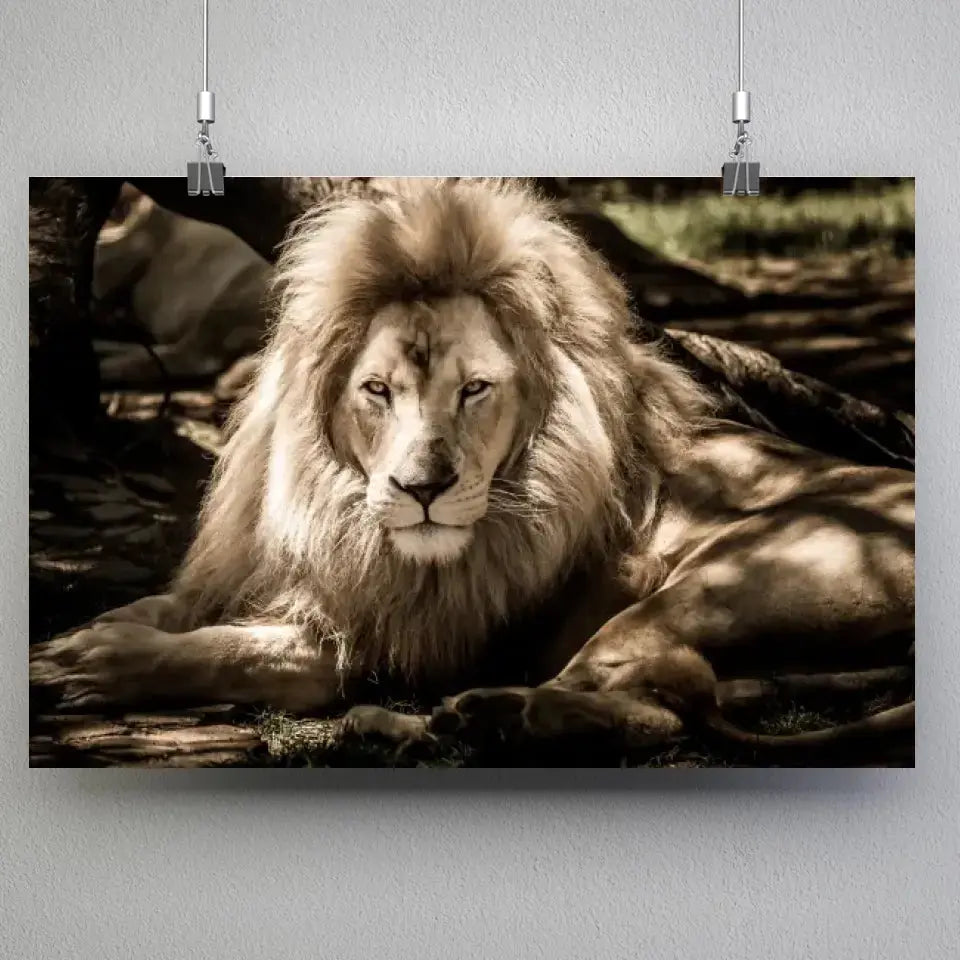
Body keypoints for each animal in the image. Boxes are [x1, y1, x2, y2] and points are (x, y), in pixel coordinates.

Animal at [30, 178, 915, 759]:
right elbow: (169, 607)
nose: (423, 490)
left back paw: (451, 719)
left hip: (708, 585)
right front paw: (84, 635)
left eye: (476, 389)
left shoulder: (393, 640)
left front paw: (93, 663)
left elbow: (234, 650)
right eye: (378, 390)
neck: (333, 506)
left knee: (643, 709)